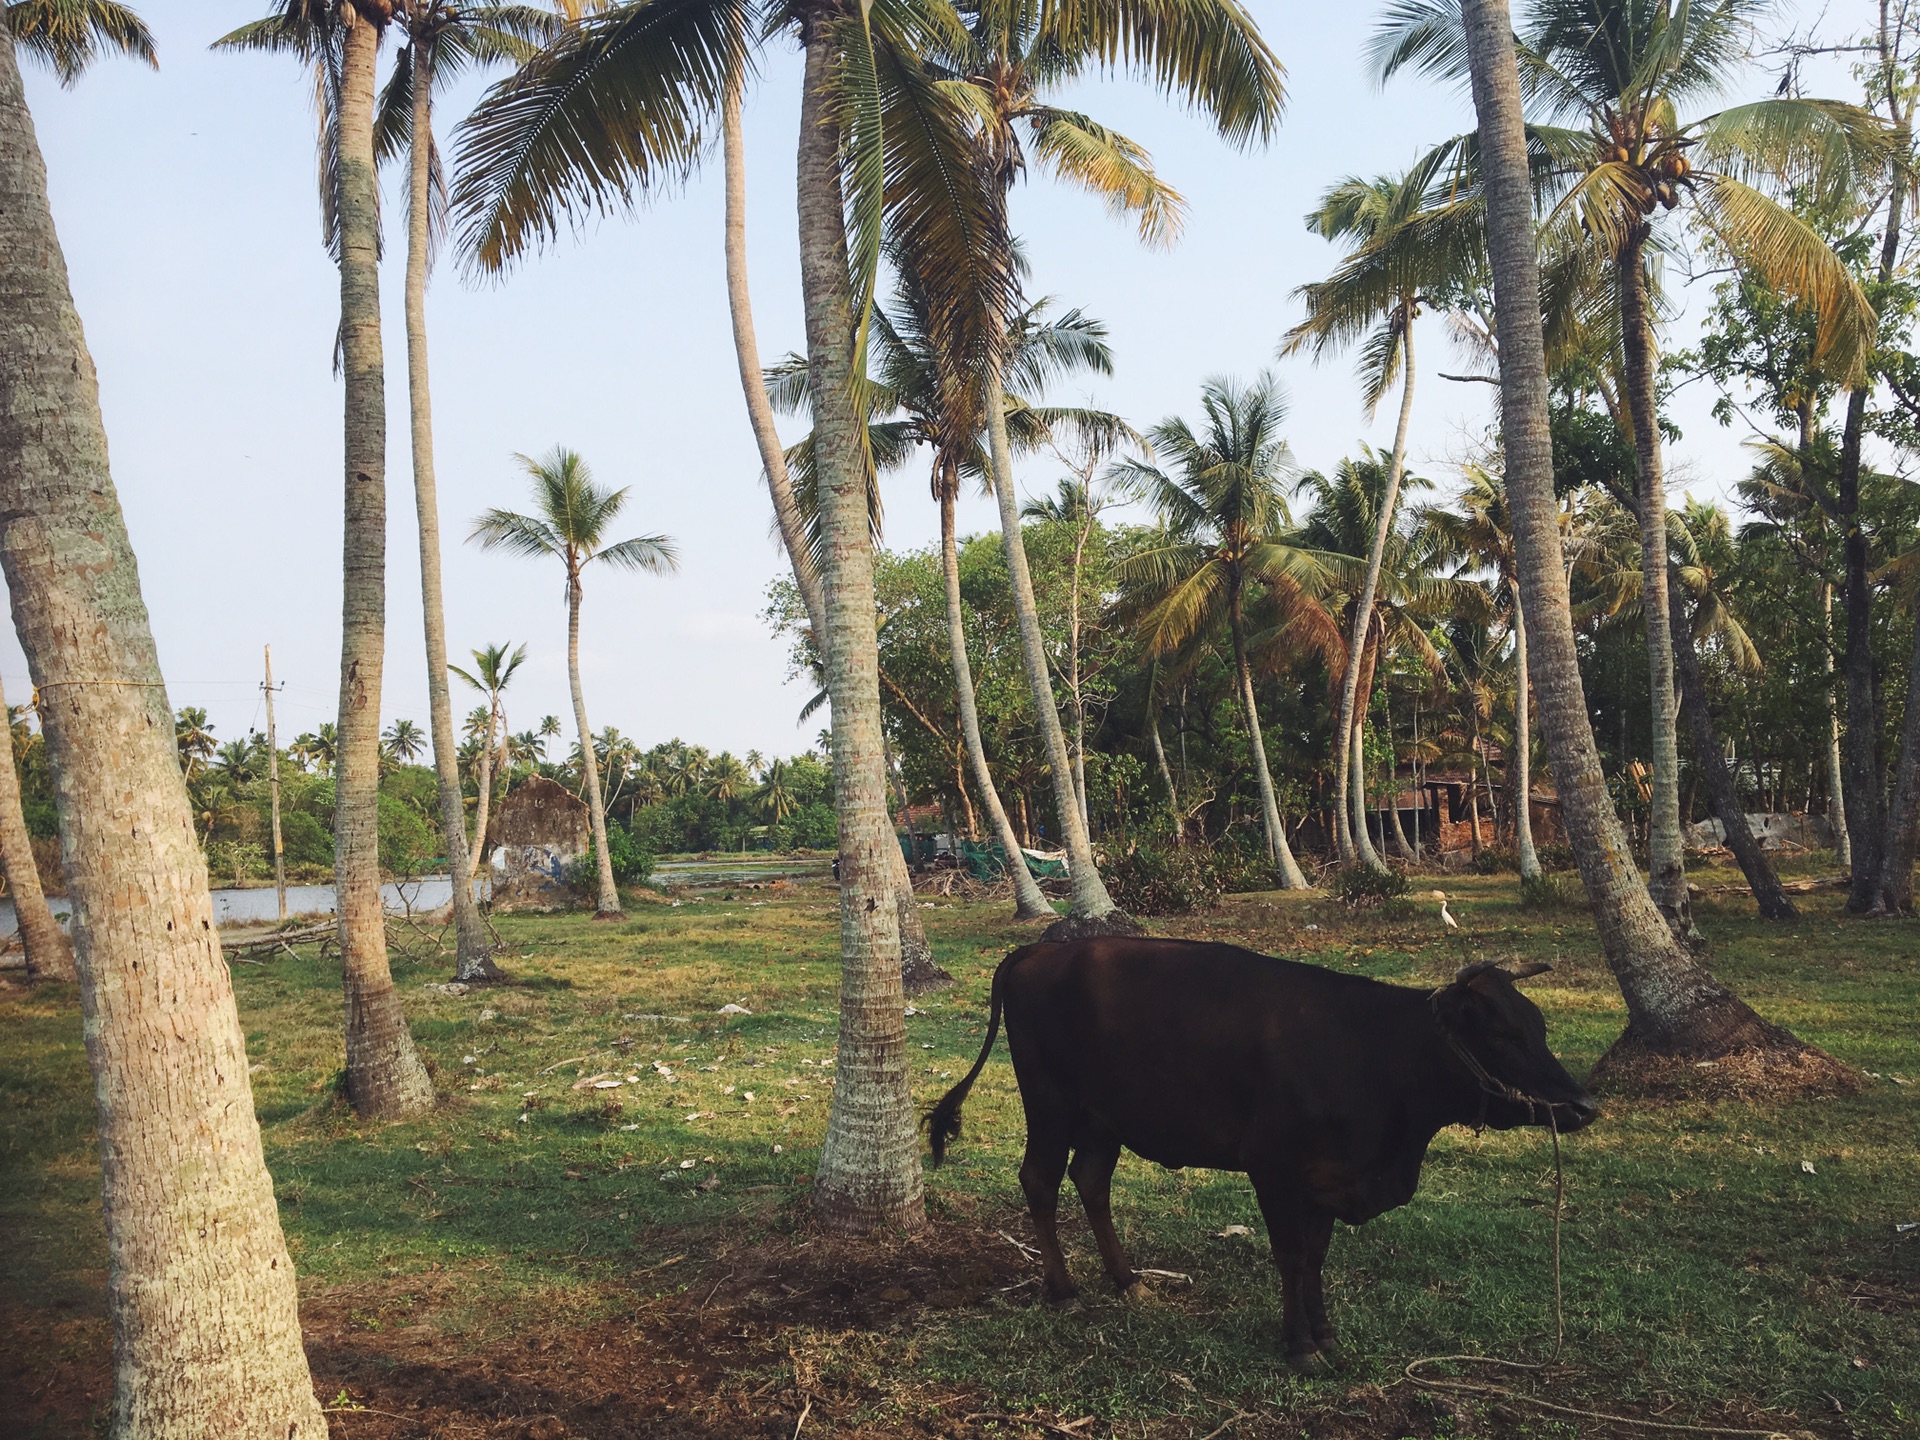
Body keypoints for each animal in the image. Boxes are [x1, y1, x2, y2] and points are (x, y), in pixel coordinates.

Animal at [921, 940, 1597, 1367]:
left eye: (1539, 1027)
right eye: (1504, 1035)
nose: (1584, 1105)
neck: (1373, 1055)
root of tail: (1038, 952)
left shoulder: (1326, 1178)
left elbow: (1317, 1256)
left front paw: (1325, 1334)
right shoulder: (1274, 1169)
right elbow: (1292, 1256)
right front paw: (1298, 1345)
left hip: (1102, 1119)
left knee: (1090, 1181)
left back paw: (1127, 1280)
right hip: (1052, 1106)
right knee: (1039, 1180)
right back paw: (1062, 1289)